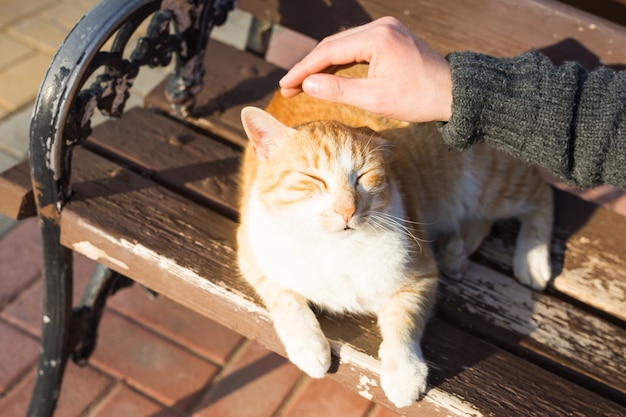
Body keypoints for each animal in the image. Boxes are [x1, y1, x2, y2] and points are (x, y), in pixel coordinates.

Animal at [235, 64, 552, 406]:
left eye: (363, 177)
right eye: (313, 179)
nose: (347, 211)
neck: (334, 248)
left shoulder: (420, 276)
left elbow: (403, 323)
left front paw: (405, 373)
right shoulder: (250, 252)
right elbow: (284, 297)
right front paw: (309, 347)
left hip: (491, 183)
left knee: (541, 194)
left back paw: (532, 260)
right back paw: (456, 252)